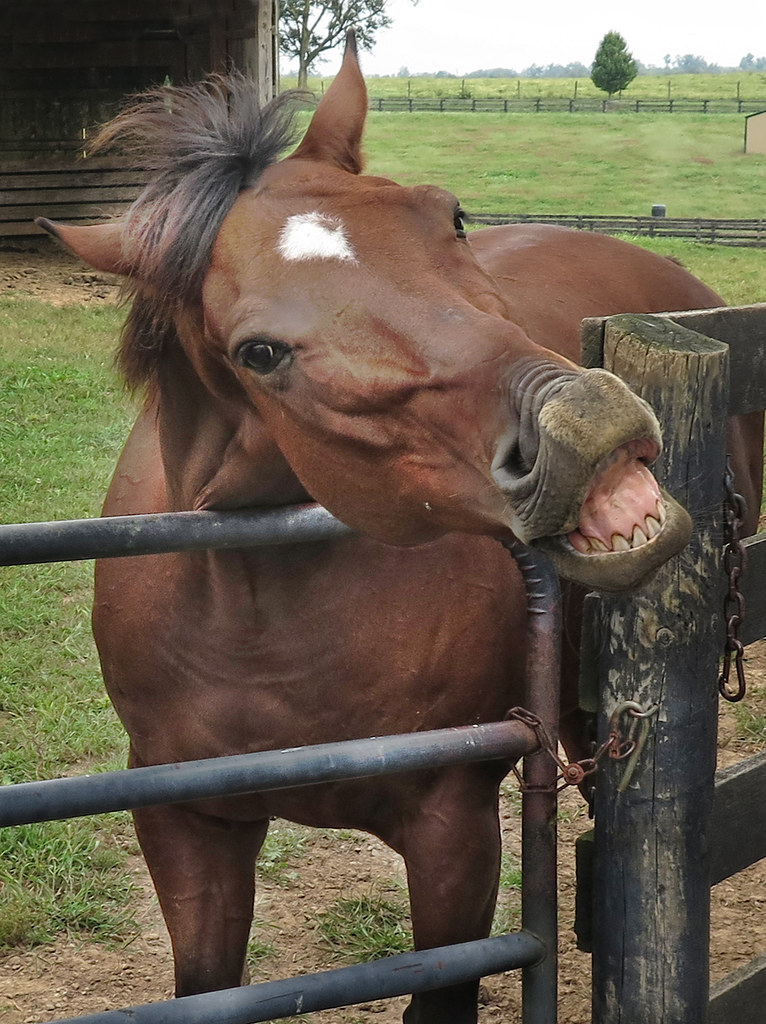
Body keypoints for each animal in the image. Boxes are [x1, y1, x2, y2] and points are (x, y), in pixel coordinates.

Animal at [38, 34, 762, 1024]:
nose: (583, 427)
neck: (253, 609)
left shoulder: (452, 827)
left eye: (448, 215)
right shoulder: (186, 824)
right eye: (260, 353)